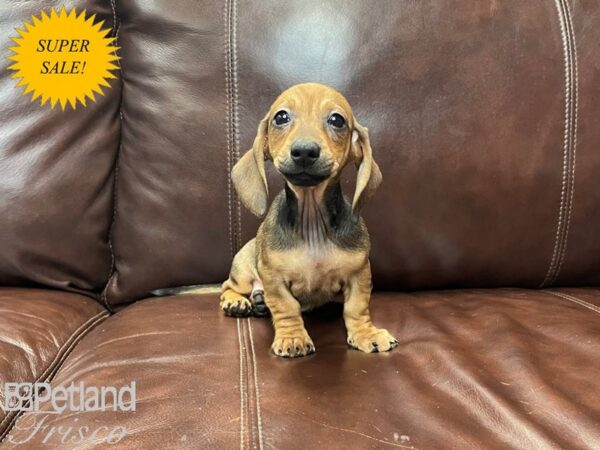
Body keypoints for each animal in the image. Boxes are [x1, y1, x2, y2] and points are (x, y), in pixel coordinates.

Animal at [220, 81, 398, 358]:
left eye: (337, 120)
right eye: (281, 117)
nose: (304, 151)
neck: (312, 222)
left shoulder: (359, 274)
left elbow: (356, 308)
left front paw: (366, 334)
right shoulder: (273, 278)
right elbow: (286, 307)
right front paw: (292, 337)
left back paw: (259, 303)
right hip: (243, 269)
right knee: (227, 287)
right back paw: (237, 302)